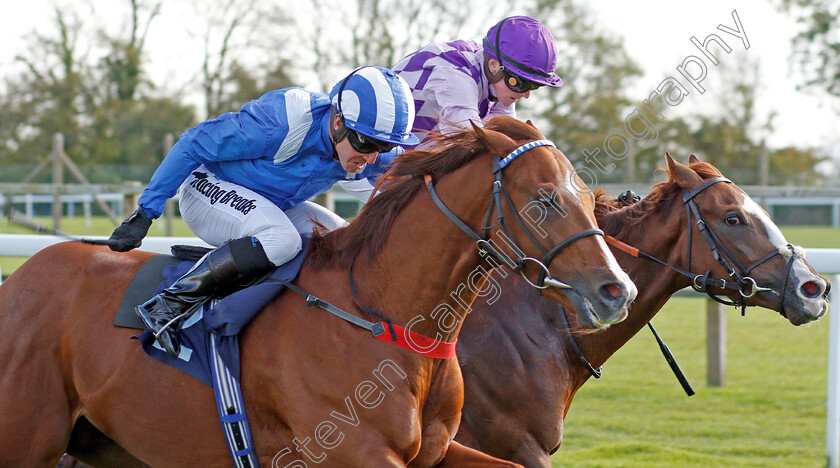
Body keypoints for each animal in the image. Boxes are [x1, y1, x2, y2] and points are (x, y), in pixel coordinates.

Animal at [0, 115, 632, 466]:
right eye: (544, 198)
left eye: (586, 194)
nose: (615, 290)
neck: (383, 316)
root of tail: (21, 279)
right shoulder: (353, 451)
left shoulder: (436, 453)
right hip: (28, 438)